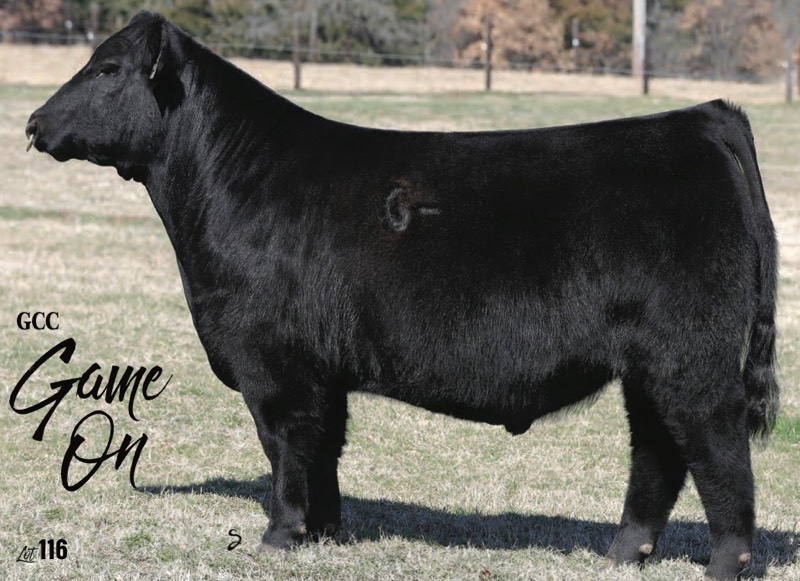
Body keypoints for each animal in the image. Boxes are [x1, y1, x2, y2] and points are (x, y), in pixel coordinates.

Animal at [25, 12, 779, 581]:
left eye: (108, 70)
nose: (32, 123)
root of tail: (701, 119)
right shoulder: (322, 371)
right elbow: (323, 449)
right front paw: (325, 532)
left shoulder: (274, 362)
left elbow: (286, 446)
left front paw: (281, 535)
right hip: (648, 366)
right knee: (657, 451)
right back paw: (623, 554)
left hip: (693, 358)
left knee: (718, 449)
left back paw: (726, 565)